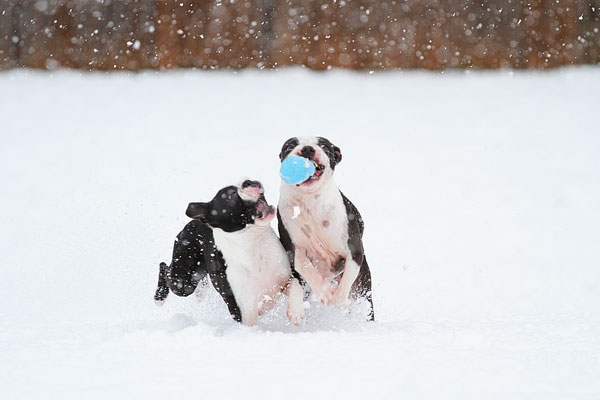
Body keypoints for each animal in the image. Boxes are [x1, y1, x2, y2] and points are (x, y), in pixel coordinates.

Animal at [155, 180, 304, 326]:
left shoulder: (286, 281)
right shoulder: (244, 315)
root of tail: (193, 222)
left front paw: (296, 312)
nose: (249, 182)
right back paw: (159, 298)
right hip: (182, 281)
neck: (254, 241)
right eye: (231, 195)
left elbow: (297, 286)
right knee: (164, 267)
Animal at [278, 139, 372, 320]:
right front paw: (325, 294)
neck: (310, 201)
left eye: (324, 146)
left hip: (363, 284)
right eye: (290, 146)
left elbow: (345, 284)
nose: (308, 148)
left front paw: (340, 299)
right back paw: (296, 310)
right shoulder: (294, 250)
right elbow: (307, 268)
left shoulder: (354, 251)